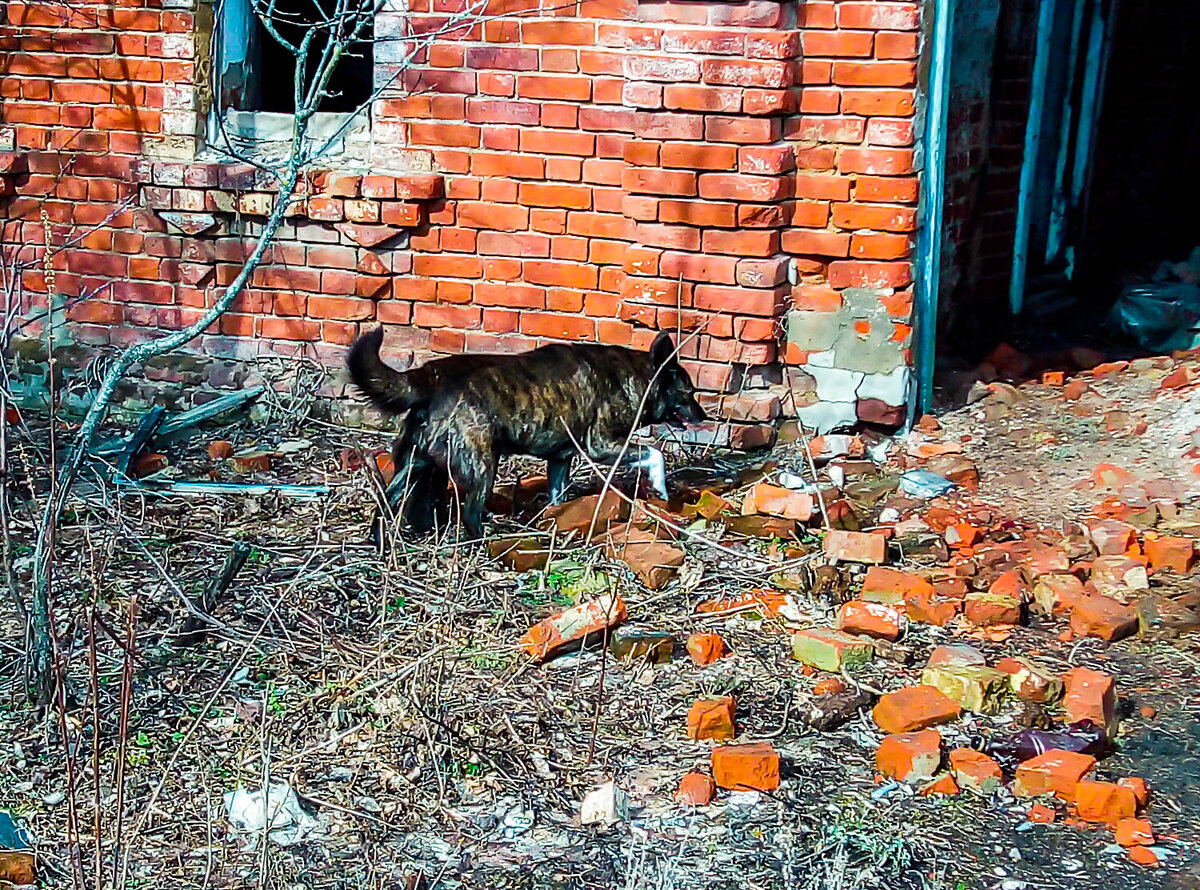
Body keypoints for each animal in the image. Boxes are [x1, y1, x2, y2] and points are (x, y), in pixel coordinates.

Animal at [348, 326, 700, 537]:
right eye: (690, 392)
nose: (704, 414)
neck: (637, 375)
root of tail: (430, 376)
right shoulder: (602, 445)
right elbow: (655, 454)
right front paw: (661, 488)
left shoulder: (560, 461)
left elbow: (558, 497)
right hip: (482, 468)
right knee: (471, 515)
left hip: (413, 466)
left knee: (385, 505)